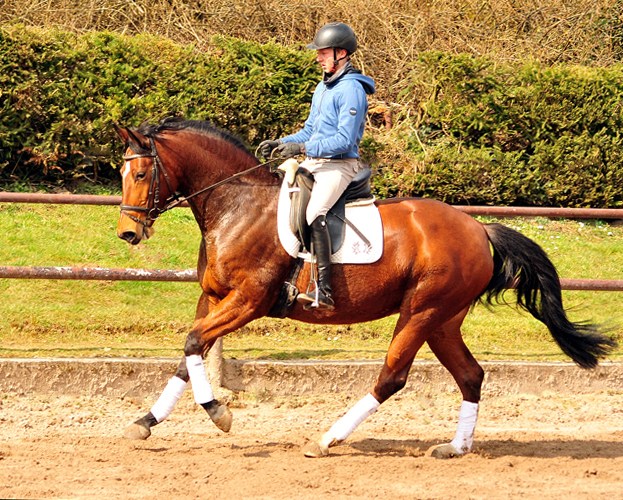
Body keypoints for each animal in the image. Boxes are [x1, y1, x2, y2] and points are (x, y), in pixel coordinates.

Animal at [114, 117, 616, 458]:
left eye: (140, 175)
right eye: (122, 174)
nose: (128, 234)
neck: (237, 207)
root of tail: (477, 228)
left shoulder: (249, 301)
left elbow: (193, 343)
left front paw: (219, 413)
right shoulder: (215, 298)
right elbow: (189, 354)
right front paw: (146, 421)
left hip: (420, 312)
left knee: (392, 377)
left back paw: (327, 438)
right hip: (443, 320)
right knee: (471, 375)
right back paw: (455, 447)